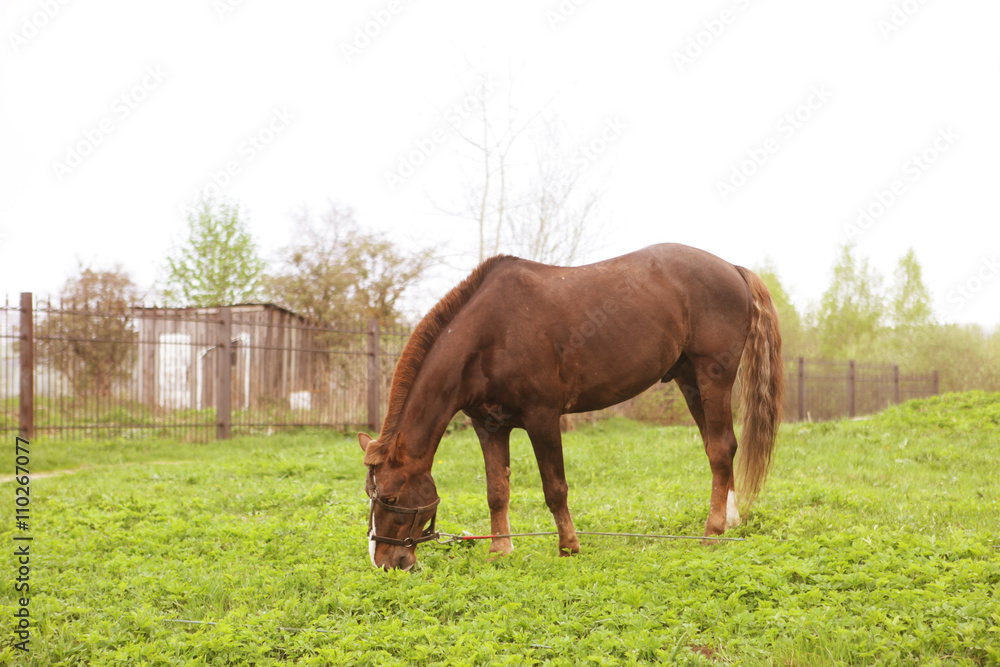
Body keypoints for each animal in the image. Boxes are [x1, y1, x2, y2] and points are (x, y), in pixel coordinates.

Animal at [358, 243, 780, 572]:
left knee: (722, 448)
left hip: (714, 378)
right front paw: (500, 550)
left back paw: (713, 532)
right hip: (689, 380)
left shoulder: (542, 417)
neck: (490, 334)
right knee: (716, 449)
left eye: (391, 498)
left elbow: (554, 487)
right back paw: (730, 520)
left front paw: (569, 547)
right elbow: (497, 489)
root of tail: (732, 268)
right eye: (370, 495)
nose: (385, 562)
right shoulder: (488, 425)